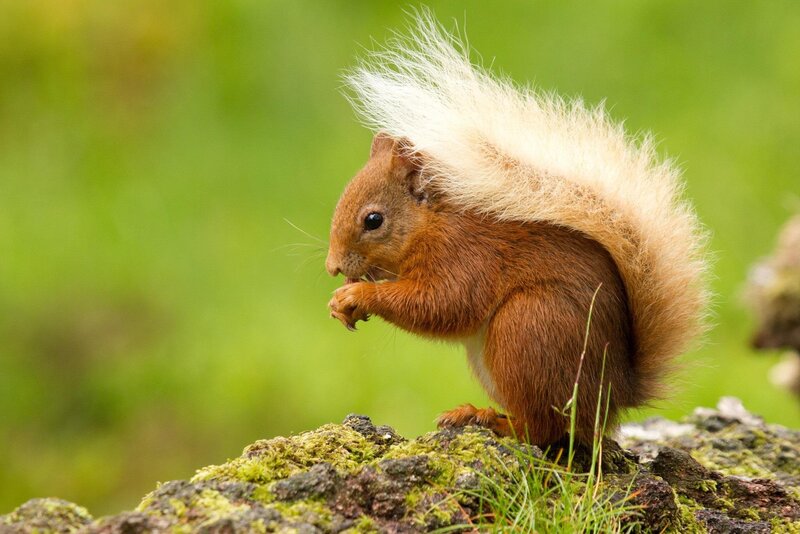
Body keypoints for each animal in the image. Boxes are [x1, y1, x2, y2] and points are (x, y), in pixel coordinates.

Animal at [325, 14, 709, 445]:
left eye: (373, 220)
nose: (332, 266)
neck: (431, 225)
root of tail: (614, 395)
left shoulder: (464, 257)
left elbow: (441, 304)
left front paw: (357, 295)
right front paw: (341, 301)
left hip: (526, 329)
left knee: (542, 428)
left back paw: (486, 418)